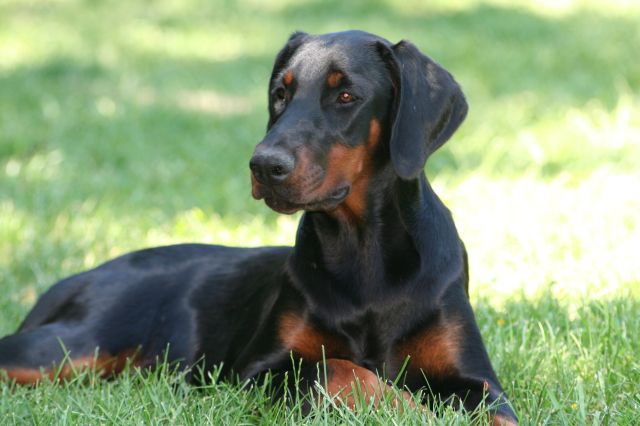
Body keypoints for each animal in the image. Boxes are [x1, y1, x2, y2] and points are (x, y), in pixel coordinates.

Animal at [0, 30, 517, 424]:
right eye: (280, 93)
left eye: (346, 95)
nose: (264, 165)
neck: (363, 254)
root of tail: (81, 276)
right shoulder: (258, 370)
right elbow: (338, 369)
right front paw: (410, 410)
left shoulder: (479, 380)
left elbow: (495, 411)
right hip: (74, 344)